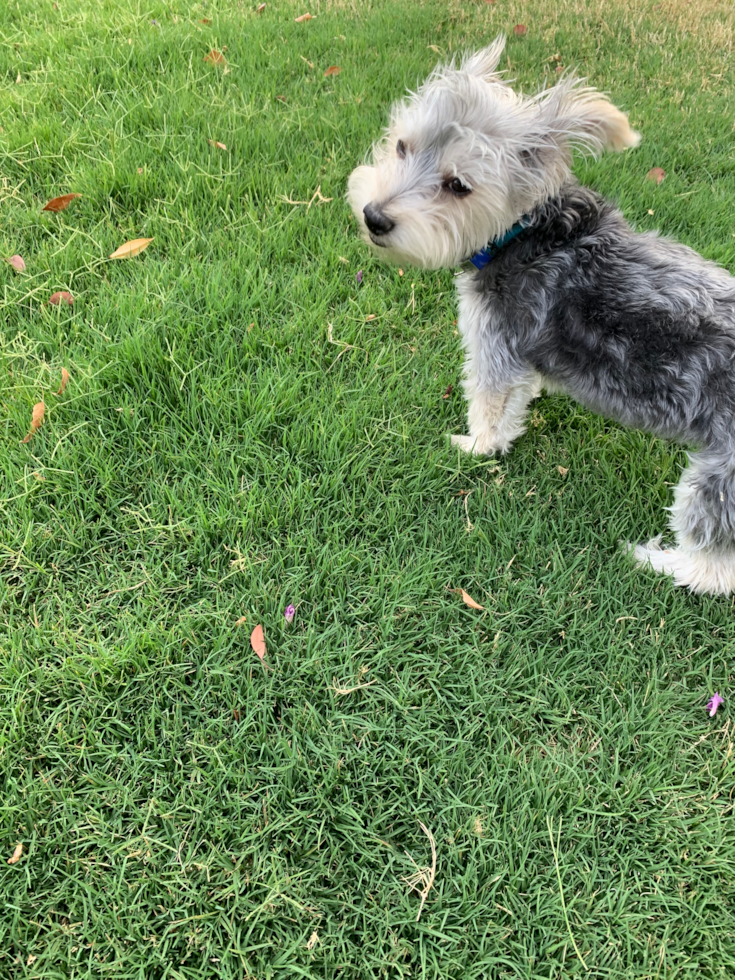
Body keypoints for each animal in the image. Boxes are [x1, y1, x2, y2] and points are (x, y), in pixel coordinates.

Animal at [346, 38, 735, 596]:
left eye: (459, 186)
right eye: (401, 146)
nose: (374, 217)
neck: (523, 234)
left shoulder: (494, 342)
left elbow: (488, 408)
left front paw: (475, 447)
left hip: (718, 476)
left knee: (713, 568)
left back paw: (657, 562)